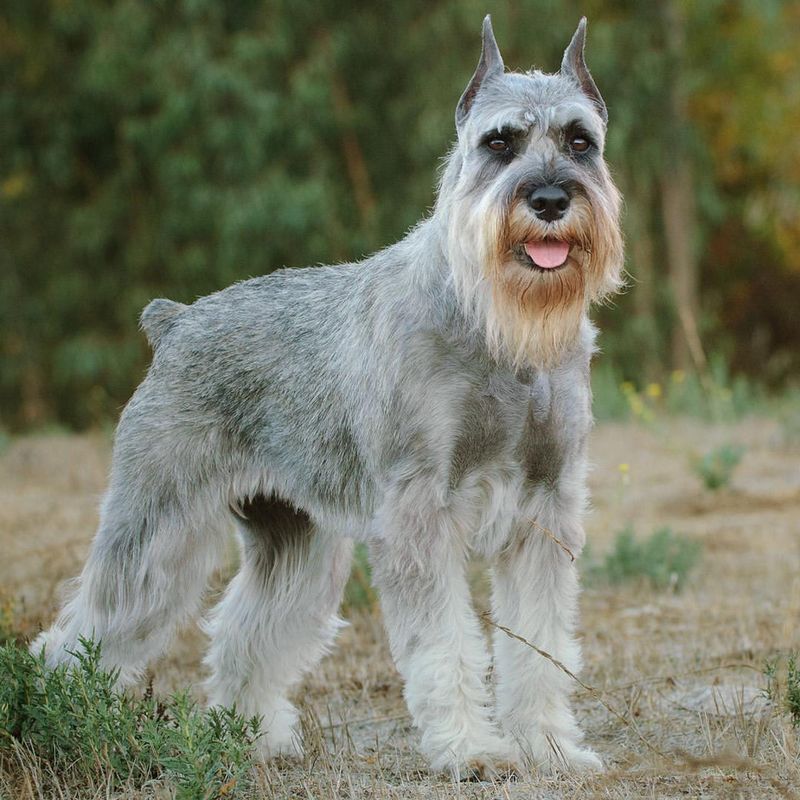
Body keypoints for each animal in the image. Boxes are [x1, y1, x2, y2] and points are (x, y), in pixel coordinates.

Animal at [34, 17, 624, 780]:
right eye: (500, 143)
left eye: (581, 141)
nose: (550, 198)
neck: (495, 326)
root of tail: (175, 322)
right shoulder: (419, 511)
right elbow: (445, 644)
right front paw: (471, 750)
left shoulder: (545, 508)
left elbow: (539, 644)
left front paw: (550, 746)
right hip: (158, 526)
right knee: (87, 626)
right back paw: (59, 720)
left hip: (296, 540)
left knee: (245, 632)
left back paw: (251, 734)